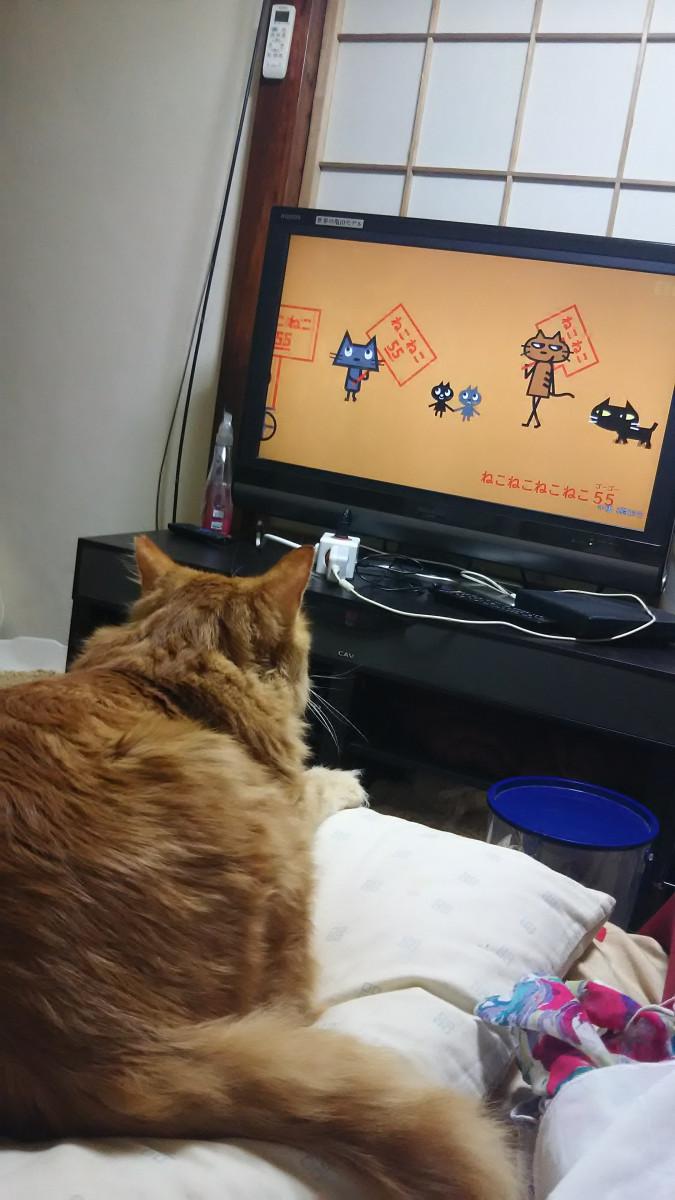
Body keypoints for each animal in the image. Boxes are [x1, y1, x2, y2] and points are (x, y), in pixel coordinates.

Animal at [0, 538, 515, 1200]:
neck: (162, 669)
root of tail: (106, 1048)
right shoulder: (290, 799)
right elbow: (320, 783)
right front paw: (348, 780)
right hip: (282, 863)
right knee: (295, 1007)